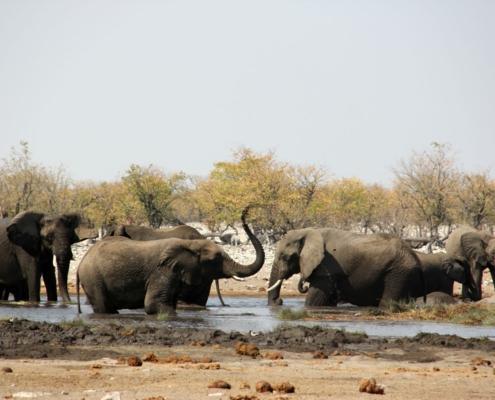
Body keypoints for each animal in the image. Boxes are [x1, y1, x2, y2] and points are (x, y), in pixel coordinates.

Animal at [268, 227, 426, 308]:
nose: (279, 301)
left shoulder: (327, 267)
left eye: (285, 257)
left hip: (399, 272)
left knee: (388, 302)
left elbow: (313, 301)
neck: (308, 232)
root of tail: (415, 256)